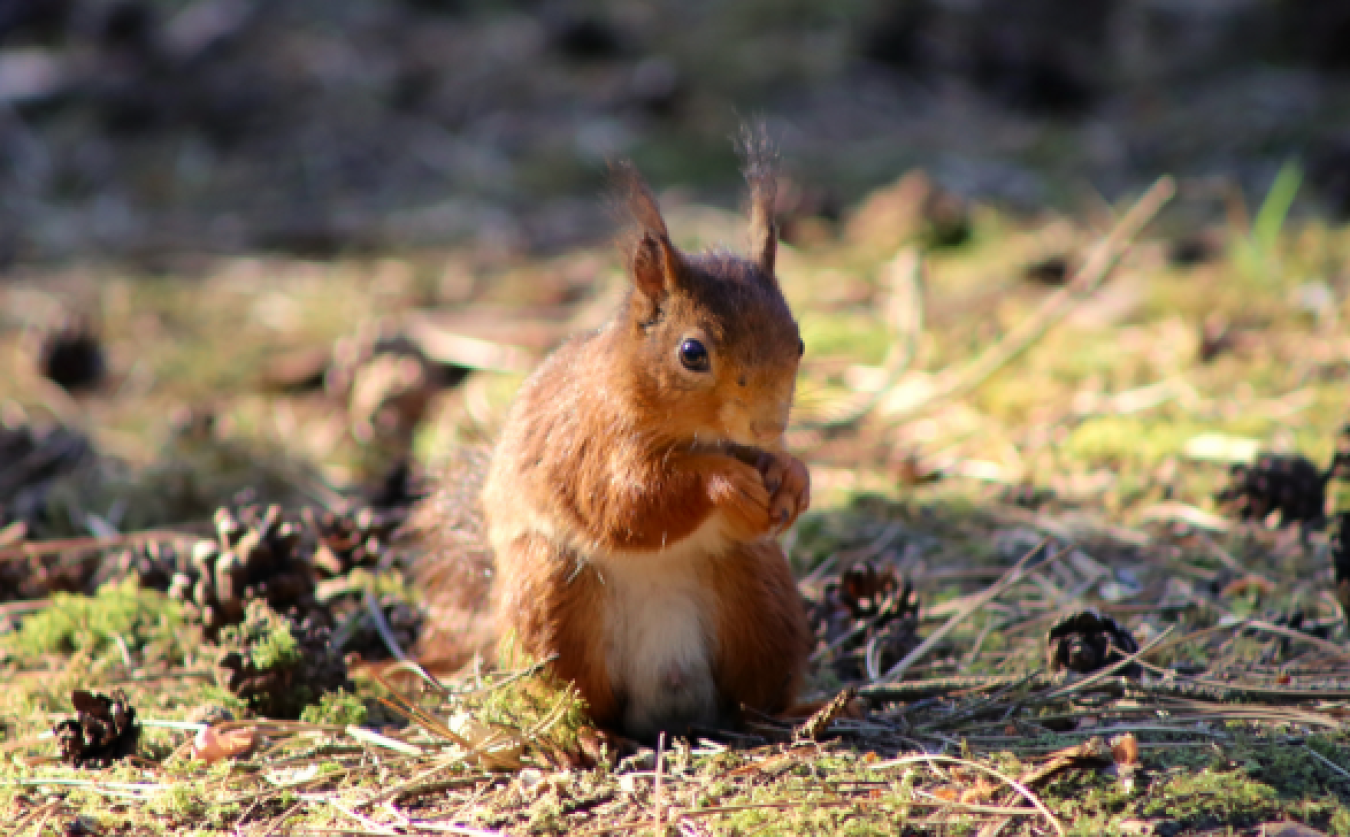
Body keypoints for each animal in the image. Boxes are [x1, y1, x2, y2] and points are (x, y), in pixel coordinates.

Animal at [419, 128, 812, 742]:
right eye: (692, 353)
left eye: (799, 342)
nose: (769, 427)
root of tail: (665, 701)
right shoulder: (588, 443)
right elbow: (627, 502)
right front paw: (725, 483)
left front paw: (793, 477)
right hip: (552, 597)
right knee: (569, 693)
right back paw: (579, 736)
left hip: (763, 595)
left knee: (753, 693)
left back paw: (792, 713)